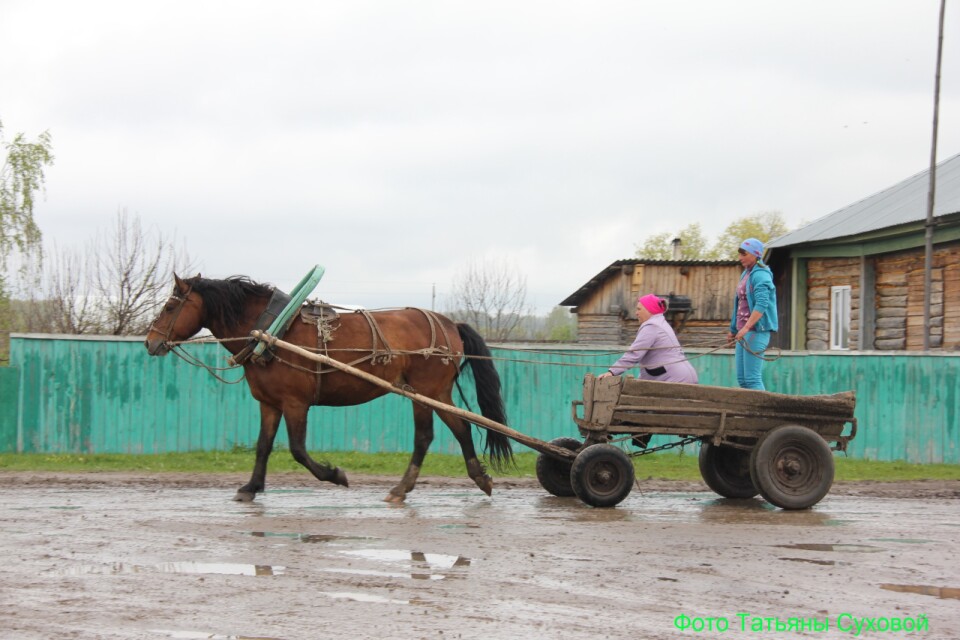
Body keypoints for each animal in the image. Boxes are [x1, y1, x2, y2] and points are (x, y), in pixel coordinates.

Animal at [143, 272, 512, 502]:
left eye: (171, 306)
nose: (150, 342)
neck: (272, 332)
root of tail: (450, 324)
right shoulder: (269, 403)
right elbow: (263, 446)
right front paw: (251, 487)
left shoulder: (295, 403)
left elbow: (297, 450)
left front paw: (335, 474)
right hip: (425, 392)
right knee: (448, 432)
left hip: (429, 392)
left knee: (441, 433)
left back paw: (420, 486)